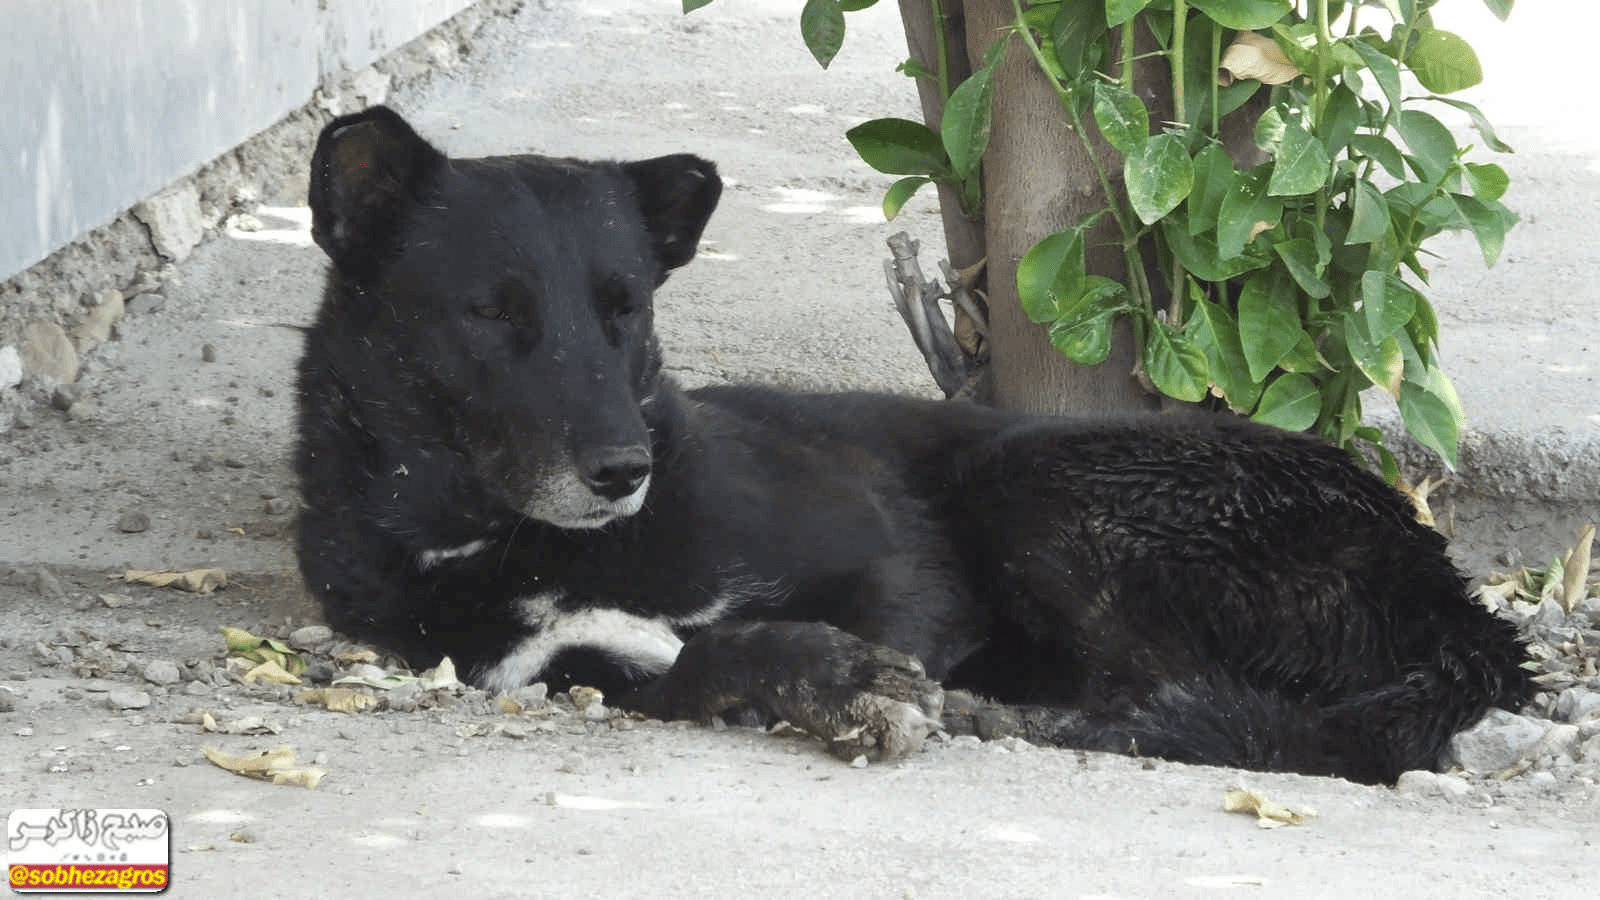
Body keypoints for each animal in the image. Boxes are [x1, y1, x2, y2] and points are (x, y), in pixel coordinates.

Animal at [294, 103, 1529, 778]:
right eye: (490, 313)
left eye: (623, 310)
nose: (621, 472)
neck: (516, 542)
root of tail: (1454, 598)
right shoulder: (560, 672)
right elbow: (693, 663)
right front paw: (819, 676)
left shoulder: (909, 576)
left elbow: (834, 637)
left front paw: (847, 681)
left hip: (1036, 481)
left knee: (1182, 705)